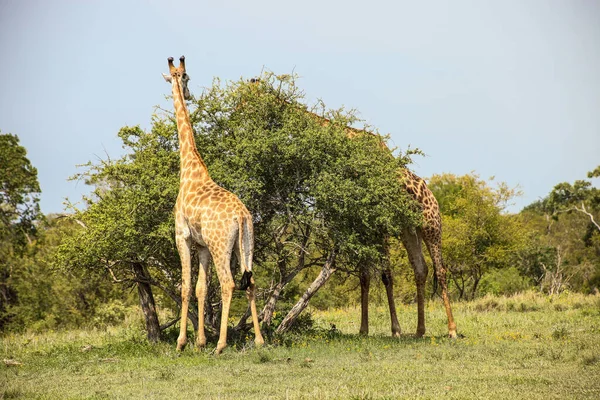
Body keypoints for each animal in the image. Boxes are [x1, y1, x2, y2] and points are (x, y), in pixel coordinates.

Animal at [163, 57, 264, 354]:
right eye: (184, 76)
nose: (188, 94)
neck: (190, 171)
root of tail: (241, 216)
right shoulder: (203, 245)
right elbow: (202, 289)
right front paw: (199, 341)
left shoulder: (182, 237)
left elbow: (186, 287)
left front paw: (182, 342)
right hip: (247, 243)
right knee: (251, 282)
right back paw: (259, 340)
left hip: (223, 247)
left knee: (229, 284)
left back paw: (221, 344)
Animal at [246, 79, 458, 340]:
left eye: (248, 100)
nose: (237, 116)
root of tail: (434, 199)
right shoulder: (358, 222)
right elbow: (364, 275)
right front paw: (364, 329)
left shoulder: (378, 222)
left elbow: (386, 275)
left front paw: (396, 330)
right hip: (409, 230)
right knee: (421, 269)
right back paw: (419, 331)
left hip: (431, 227)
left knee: (441, 270)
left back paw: (452, 330)